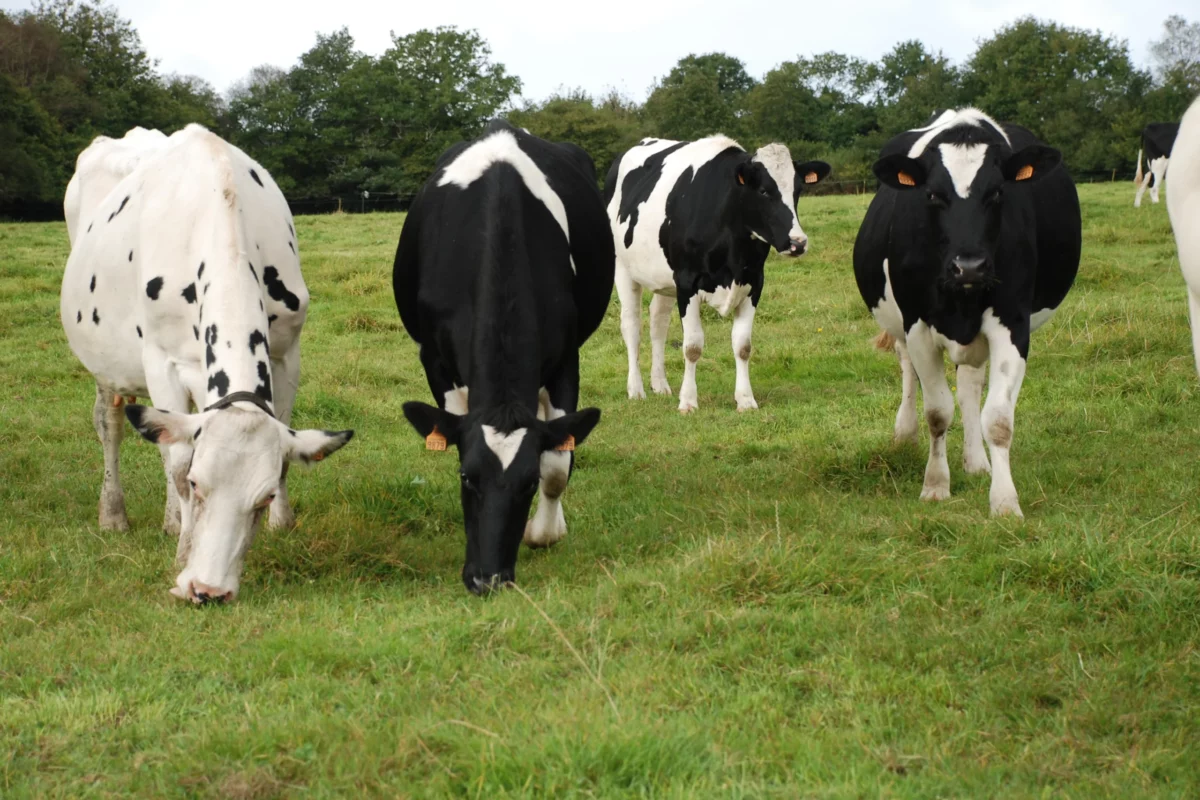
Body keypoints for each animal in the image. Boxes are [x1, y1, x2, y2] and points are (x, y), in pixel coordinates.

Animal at [59, 123, 352, 599]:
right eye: (200, 485)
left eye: (264, 497)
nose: (208, 590)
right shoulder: (161, 362)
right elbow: (177, 462)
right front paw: (184, 551)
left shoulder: (287, 352)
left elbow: (283, 447)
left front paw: (282, 524)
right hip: (105, 358)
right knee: (112, 423)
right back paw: (115, 514)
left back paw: (168, 520)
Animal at [393, 118, 614, 594]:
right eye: (466, 477)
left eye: (527, 483)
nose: (487, 579)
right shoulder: (434, 359)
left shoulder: (567, 358)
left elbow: (557, 461)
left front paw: (543, 533)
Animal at [604, 135, 830, 412]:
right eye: (764, 191)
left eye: (798, 191)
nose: (798, 242)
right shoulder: (687, 283)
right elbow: (692, 346)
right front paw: (688, 401)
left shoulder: (754, 283)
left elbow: (743, 346)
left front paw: (746, 400)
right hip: (623, 269)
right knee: (632, 326)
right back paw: (636, 389)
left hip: (665, 279)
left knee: (658, 323)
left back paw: (660, 384)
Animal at [854, 107, 1089, 520]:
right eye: (932, 195)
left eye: (996, 193)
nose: (969, 267)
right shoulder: (917, 326)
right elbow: (937, 412)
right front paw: (935, 485)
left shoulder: (1012, 325)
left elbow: (997, 418)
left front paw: (1005, 501)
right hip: (900, 325)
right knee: (908, 371)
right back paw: (904, 434)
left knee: (969, 389)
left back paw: (977, 461)